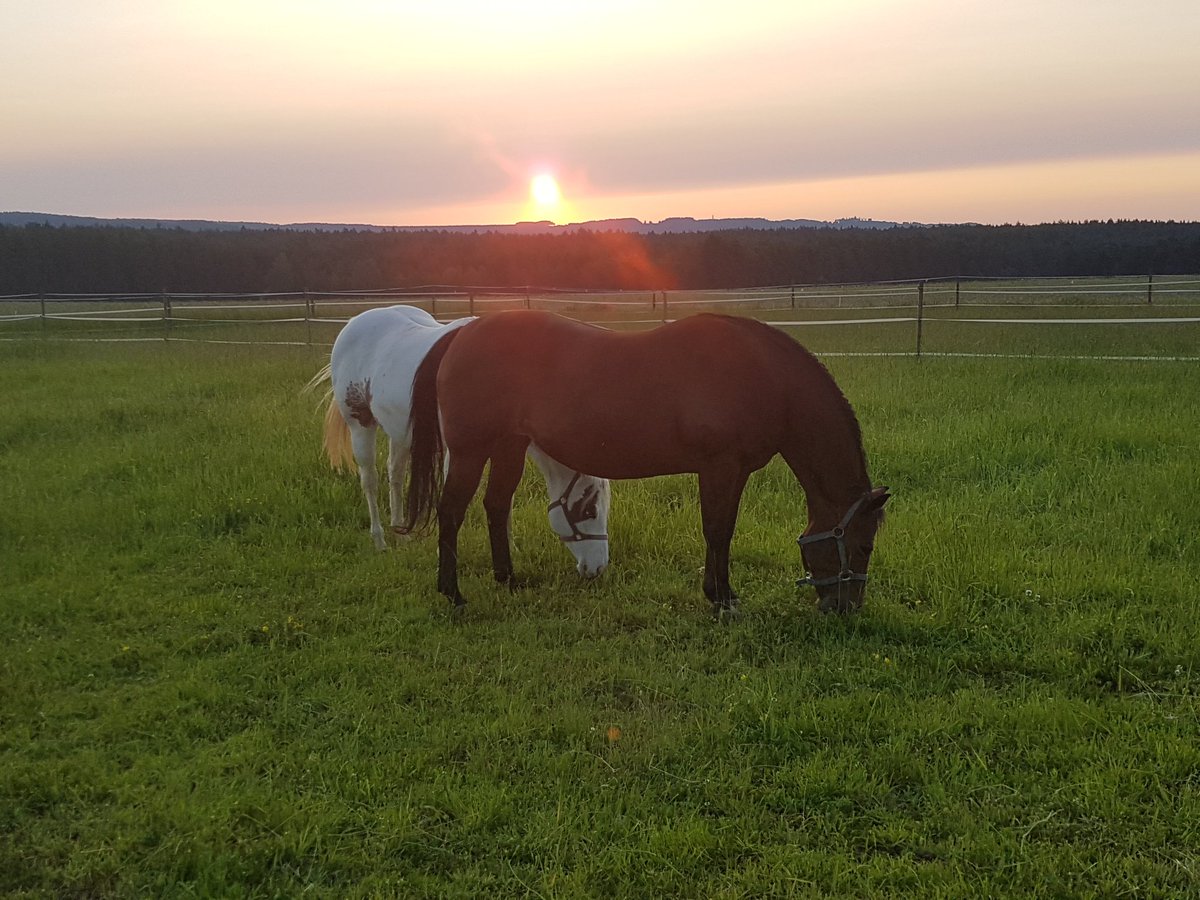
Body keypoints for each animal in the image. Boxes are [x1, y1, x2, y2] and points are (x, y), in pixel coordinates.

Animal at [308, 305, 610, 577]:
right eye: (589, 509)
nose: (596, 569)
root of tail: (355, 322)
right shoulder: (459, 453)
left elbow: (504, 499)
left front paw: (509, 549)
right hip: (360, 425)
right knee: (370, 481)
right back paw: (380, 540)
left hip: (401, 433)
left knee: (395, 473)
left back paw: (401, 533)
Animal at [403, 310, 889, 614]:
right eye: (864, 546)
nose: (844, 608)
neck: (764, 375)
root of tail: (463, 333)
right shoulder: (721, 468)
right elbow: (718, 530)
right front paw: (722, 598)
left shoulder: (728, 472)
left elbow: (720, 531)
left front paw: (717, 592)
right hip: (471, 450)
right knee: (451, 513)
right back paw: (453, 594)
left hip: (509, 445)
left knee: (496, 505)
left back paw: (507, 579)